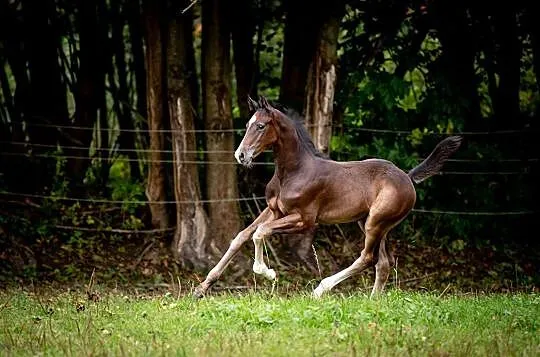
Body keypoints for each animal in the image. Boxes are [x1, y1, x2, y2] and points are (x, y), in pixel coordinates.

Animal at [192, 95, 462, 298]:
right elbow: (241, 236)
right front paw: (202, 288)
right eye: (248, 124)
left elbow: (260, 232)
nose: (241, 155)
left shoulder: (303, 220)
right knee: (383, 263)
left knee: (367, 258)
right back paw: (373, 302)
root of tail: (408, 176)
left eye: (260, 126)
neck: (293, 171)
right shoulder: (273, 210)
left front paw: (267, 272)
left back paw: (320, 290)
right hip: (372, 223)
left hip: (376, 223)